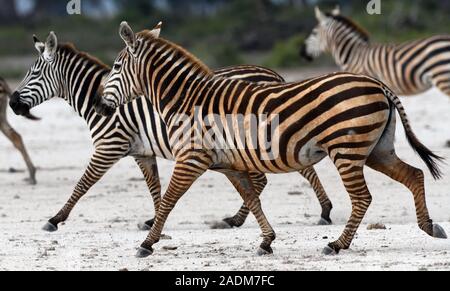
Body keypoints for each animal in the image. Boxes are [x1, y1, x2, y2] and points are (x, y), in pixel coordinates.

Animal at [9, 33, 334, 236]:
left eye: (33, 73)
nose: (11, 103)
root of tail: (273, 74)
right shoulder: (142, 152)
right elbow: (154, 187)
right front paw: (156, 219)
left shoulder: (109, 145)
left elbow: (82, 184)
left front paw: (55, 219)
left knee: (291, 171)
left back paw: (322, 211)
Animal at [96, 22, 446, 258]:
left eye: (115, 65)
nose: (99, 104)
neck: (187, 101)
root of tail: (379, 85)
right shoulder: (230, 164)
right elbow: (253, 199)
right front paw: (266, 241)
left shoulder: (191, 159)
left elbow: (169, 200)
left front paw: (146, 243)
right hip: (376, 149)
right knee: (414, 175)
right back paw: (429, 226)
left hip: (347, 150)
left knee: (363, 198)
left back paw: (337, 244)